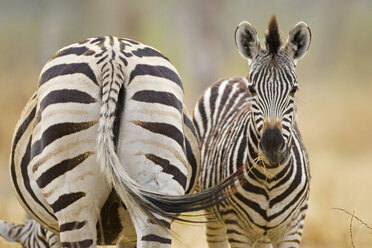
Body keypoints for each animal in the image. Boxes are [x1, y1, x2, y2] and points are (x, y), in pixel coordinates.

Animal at [193, 16, 312, 247]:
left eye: (294, 89)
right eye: (252, 89)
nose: (272, 145)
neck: (270, 178)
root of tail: (232, 78)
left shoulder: (293, 227)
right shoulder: (237, 228)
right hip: (213, 217)